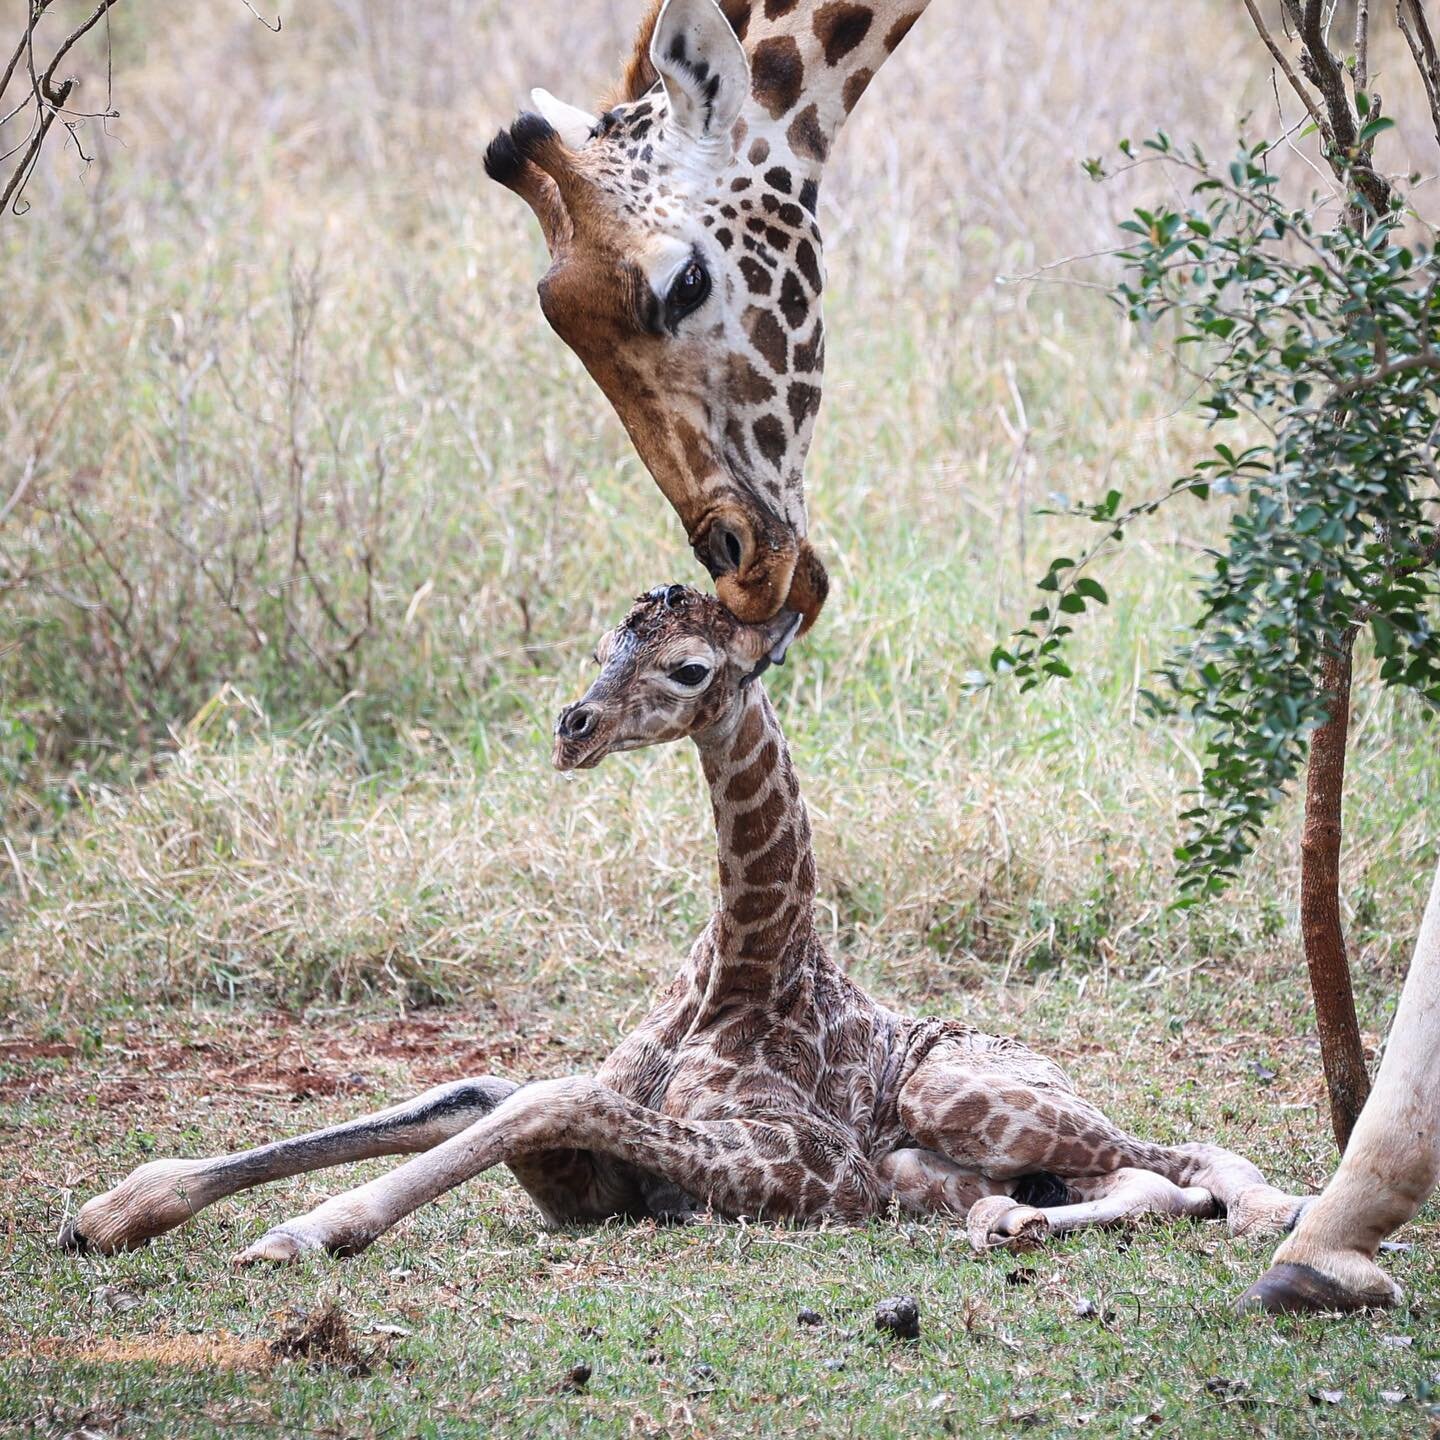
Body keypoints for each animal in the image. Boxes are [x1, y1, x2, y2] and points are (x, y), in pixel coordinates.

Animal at [64, 584, 1307, 1261]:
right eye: (608, 644)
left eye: (691, 667)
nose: (571, 727)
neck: (745, 962)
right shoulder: (596, 1182)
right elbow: (469, 1097)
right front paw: (116, 1209)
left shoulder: (810, 1177)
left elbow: (545, 1097)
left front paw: (305, 1231)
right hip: (929, 1165)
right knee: (1125, 1182)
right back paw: (1013, 1219)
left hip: (962, 1092)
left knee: (1186, 1160)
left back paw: (1263, 1211)